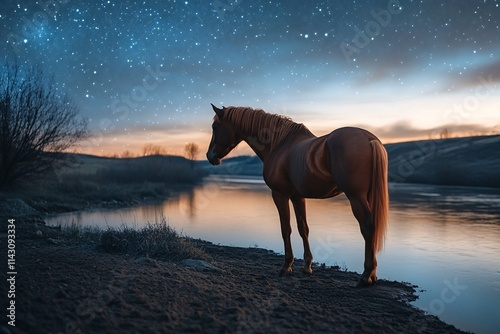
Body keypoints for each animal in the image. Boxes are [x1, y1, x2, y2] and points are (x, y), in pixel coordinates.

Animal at [205, 104, 388, 288]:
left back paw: (366, 276)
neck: (279, 145)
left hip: (356, 197)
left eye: (215, 127)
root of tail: (370, 139)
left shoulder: (280, 195)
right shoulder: (297, 197)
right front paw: (307, 266)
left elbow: (286, 229)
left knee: (368, 227)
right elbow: (303, 229)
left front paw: (286, 266)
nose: (209, 156)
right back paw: (372, 275)